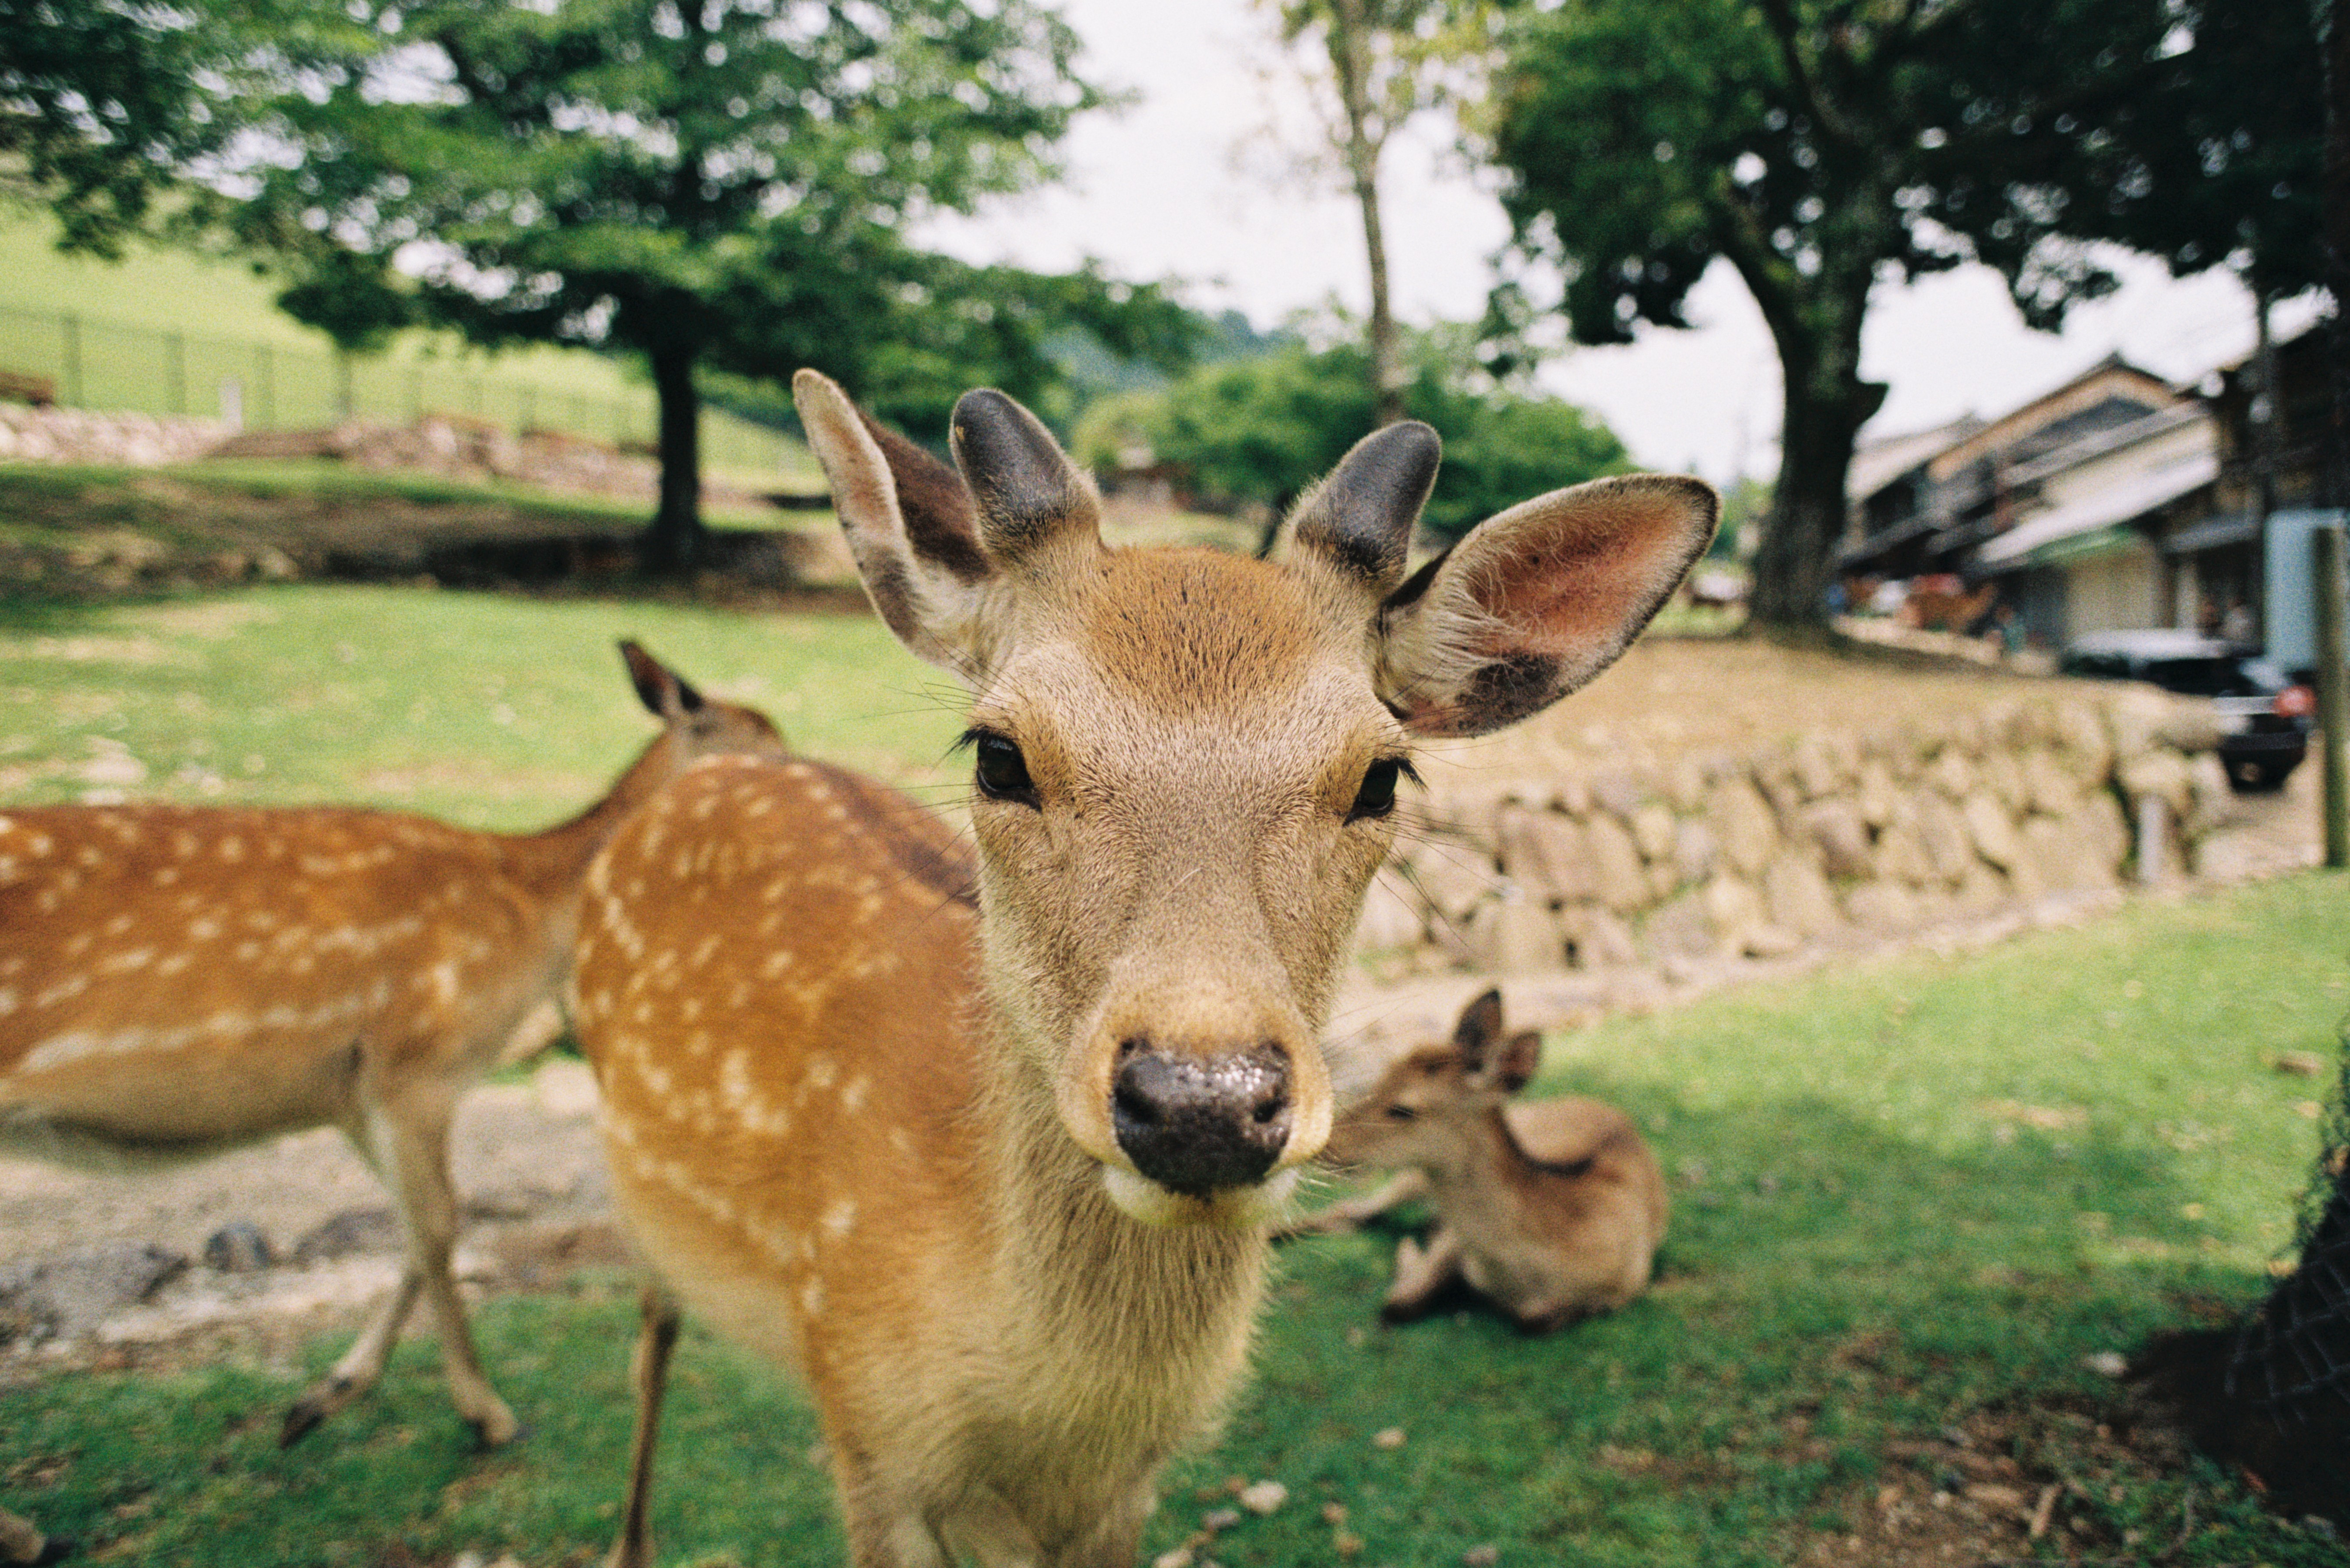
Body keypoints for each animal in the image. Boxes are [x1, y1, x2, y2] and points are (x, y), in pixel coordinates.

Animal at [0, 641, 784, 1465]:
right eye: (769, 749)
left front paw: (320, 1398)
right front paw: (488, 1413)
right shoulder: (419, 1063)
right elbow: (441, 1225)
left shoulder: (355, 1092)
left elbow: (409, 1227)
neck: (531, 920)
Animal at [1288, 989, 1667, 1332]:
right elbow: (1399, 1303)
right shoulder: (1455, 1243)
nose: (1323, 1141)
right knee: (1351, 1208)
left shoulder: (1628, 1283)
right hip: (1412, 1178)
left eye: (1404, 1108)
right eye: (1382, 1078)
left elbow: (1533, 1318)